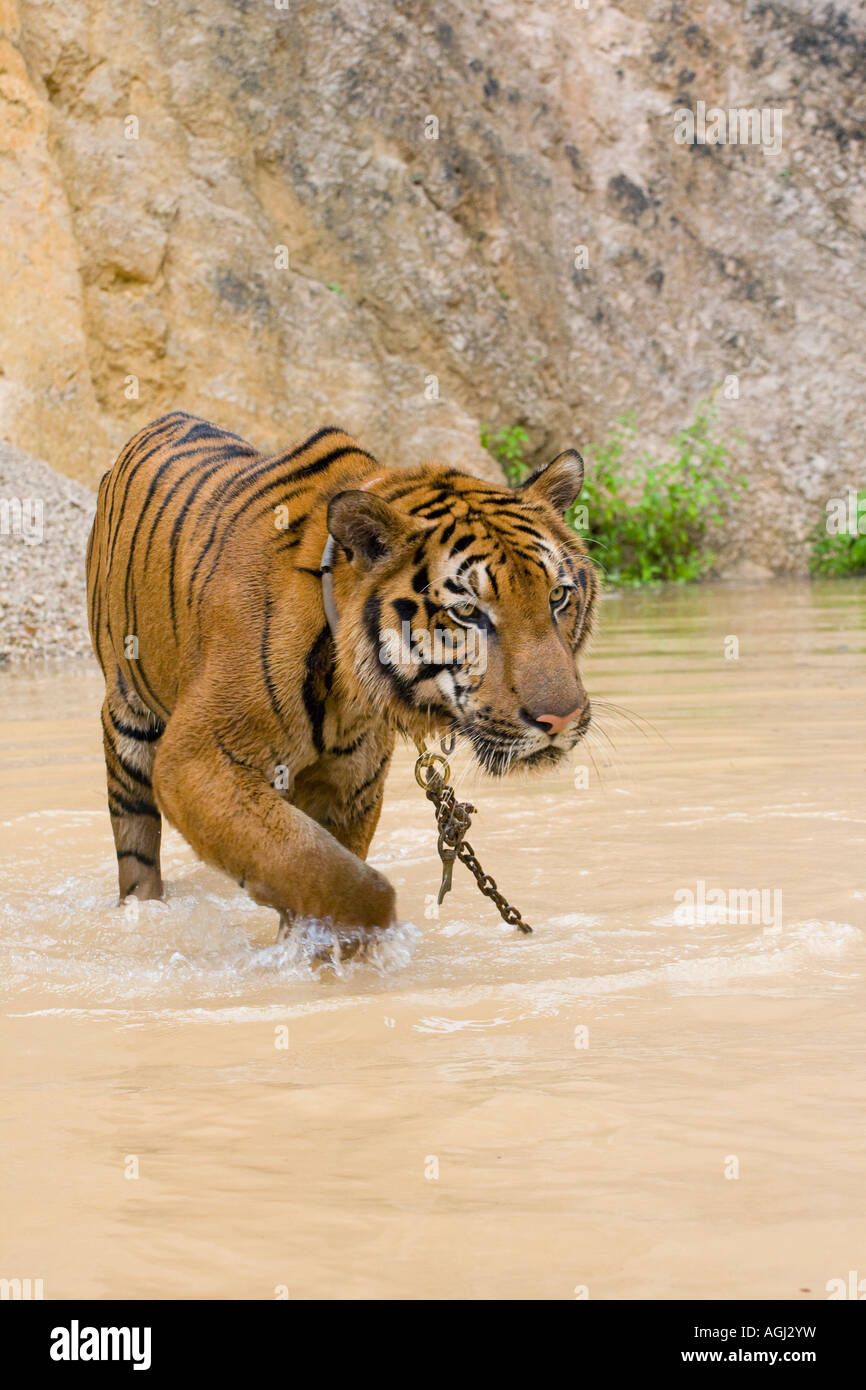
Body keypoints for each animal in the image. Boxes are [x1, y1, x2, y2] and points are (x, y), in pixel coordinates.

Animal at [88, 405, 600, 939]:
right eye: (467, 612)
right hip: (129, 723)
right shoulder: (198, 759)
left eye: (557, 597)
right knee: (136, 848)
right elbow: (332, 876)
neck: (347, 687)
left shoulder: (352, 785)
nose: (561, 720)